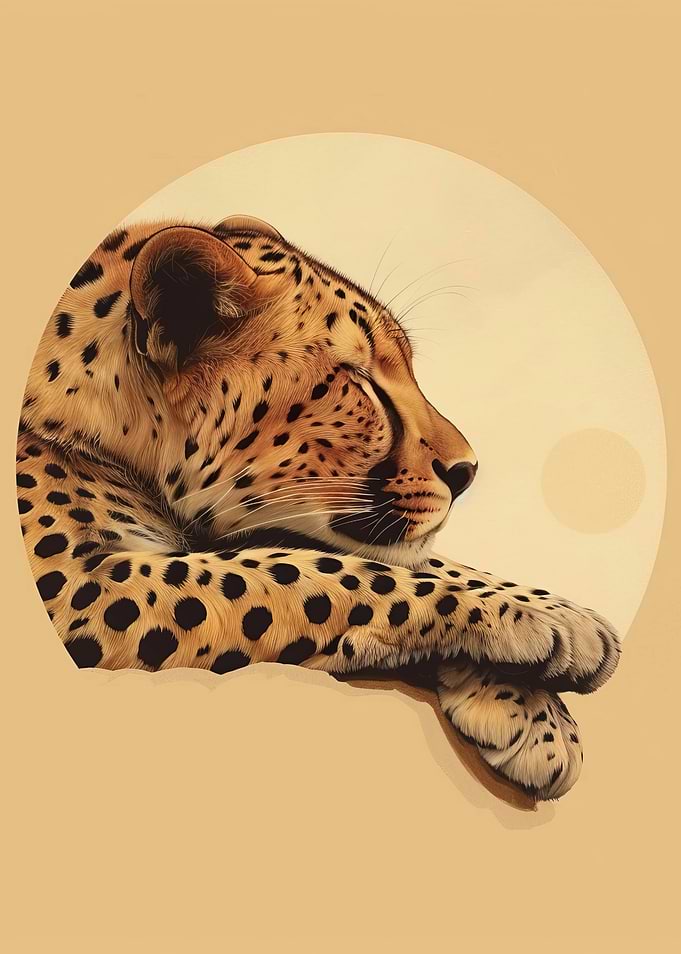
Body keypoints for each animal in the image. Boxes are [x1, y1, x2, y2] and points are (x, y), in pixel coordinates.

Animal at [16, 213, 621, 801]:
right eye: (361, 382)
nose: (466, 472)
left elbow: (378, 559)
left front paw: (540, 710)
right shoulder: (76, 586)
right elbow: (313, 573)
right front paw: (547, 622)